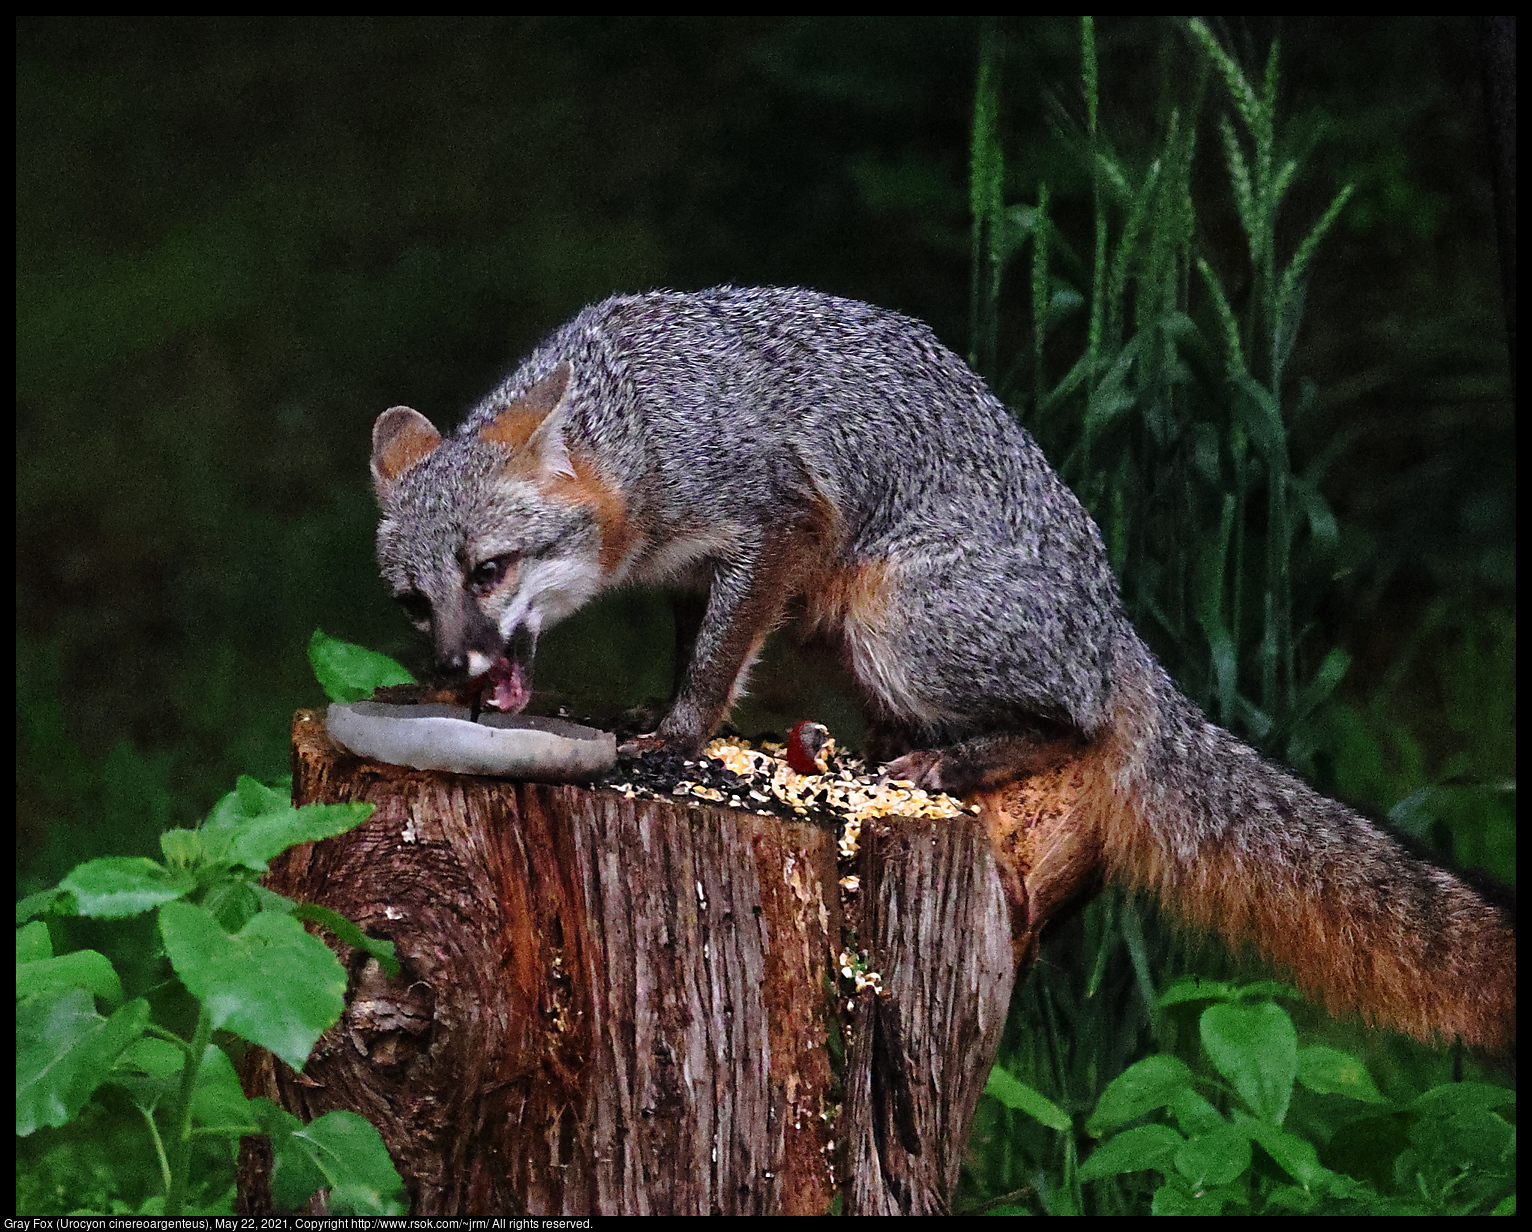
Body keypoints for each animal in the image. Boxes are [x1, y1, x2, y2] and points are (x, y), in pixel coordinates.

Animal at [373, 288, 1519, 1048]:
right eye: (414, 601)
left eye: (488, 569)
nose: (457, 667)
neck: (639, 426)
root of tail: (1115, 631)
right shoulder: (694, 572)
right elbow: (704, 645)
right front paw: (667, 707)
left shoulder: (777, 520)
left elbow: (718, 660)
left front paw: (683, 733)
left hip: (890, 614)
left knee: (1073, 725)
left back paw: (947, 763)